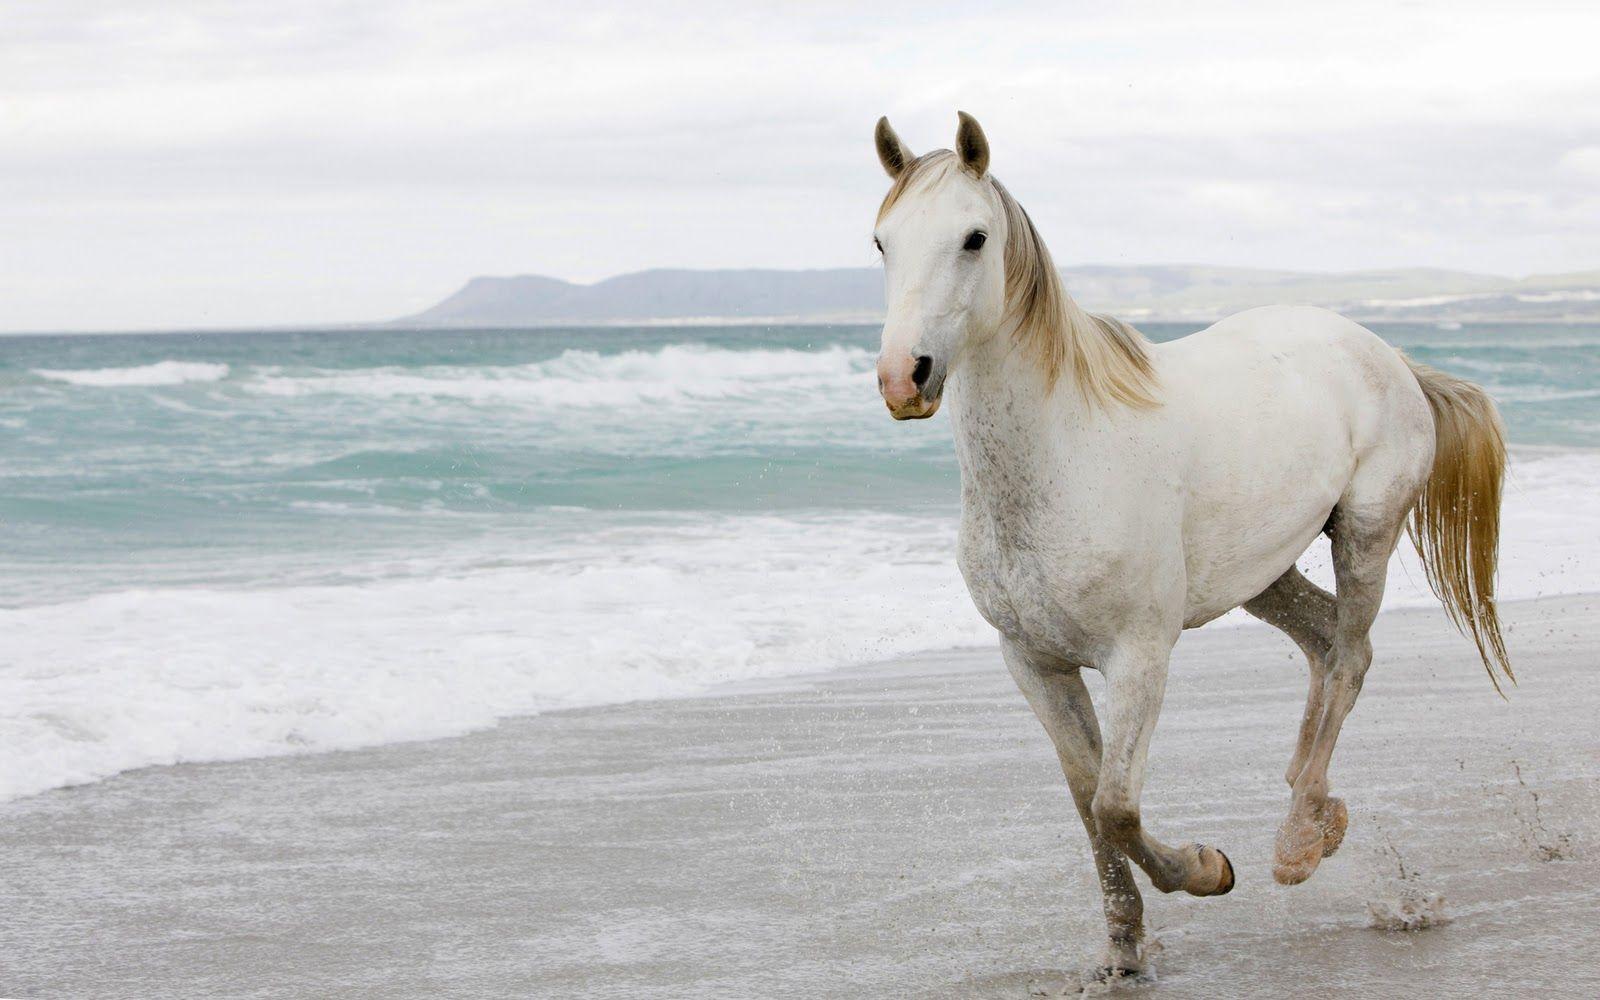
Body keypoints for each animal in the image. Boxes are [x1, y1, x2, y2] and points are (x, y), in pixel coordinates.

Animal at [869, 112, 1511, 980]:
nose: (905, 377)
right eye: (882, 241)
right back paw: (1315, 806)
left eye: (973, 237)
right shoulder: (1034, 662)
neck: (1065, 453)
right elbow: (1087, 801)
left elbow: (1115, 804)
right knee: (1325, 643)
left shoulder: (1140, 655)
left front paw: (1209, 870)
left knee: (1350, 656)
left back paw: (1297, 841)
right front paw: (1122, 949)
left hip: (1366, 535)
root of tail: (1385, 353)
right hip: (1264, 573)